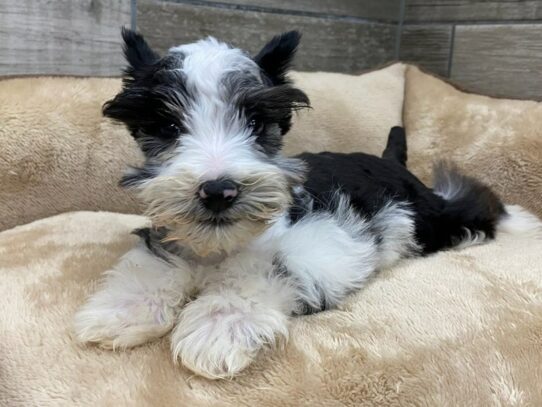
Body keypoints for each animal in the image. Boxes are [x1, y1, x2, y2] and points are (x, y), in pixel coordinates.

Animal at [75, 28, 524, 380]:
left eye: (255, 123)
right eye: (168, 126)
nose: (219, 190)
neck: (219, 248)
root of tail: (391, 160)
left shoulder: (321, 244)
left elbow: (264, 272)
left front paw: (219, 324)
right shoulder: (172, 236)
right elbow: (156, 264)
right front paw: (127, 307)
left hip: (426, 217)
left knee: (471, 204)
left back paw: (520, 221)